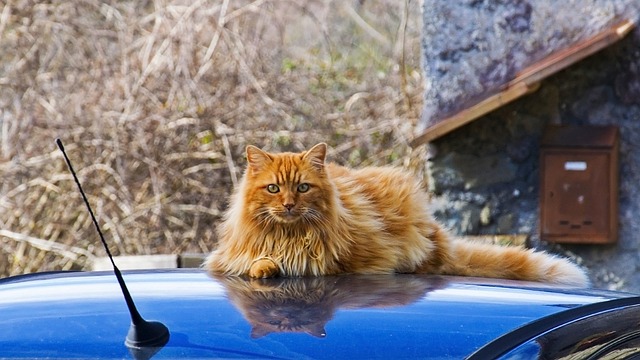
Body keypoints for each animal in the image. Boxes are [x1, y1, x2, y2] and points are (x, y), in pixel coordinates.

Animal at [206, 143, 592, 286]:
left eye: (302, 188)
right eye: (273, 189)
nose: (288, 205)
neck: (289, 234)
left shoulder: (337, 258)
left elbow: (310, 261)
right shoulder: (230, 256)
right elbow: (256, 261)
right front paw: (266, 266)